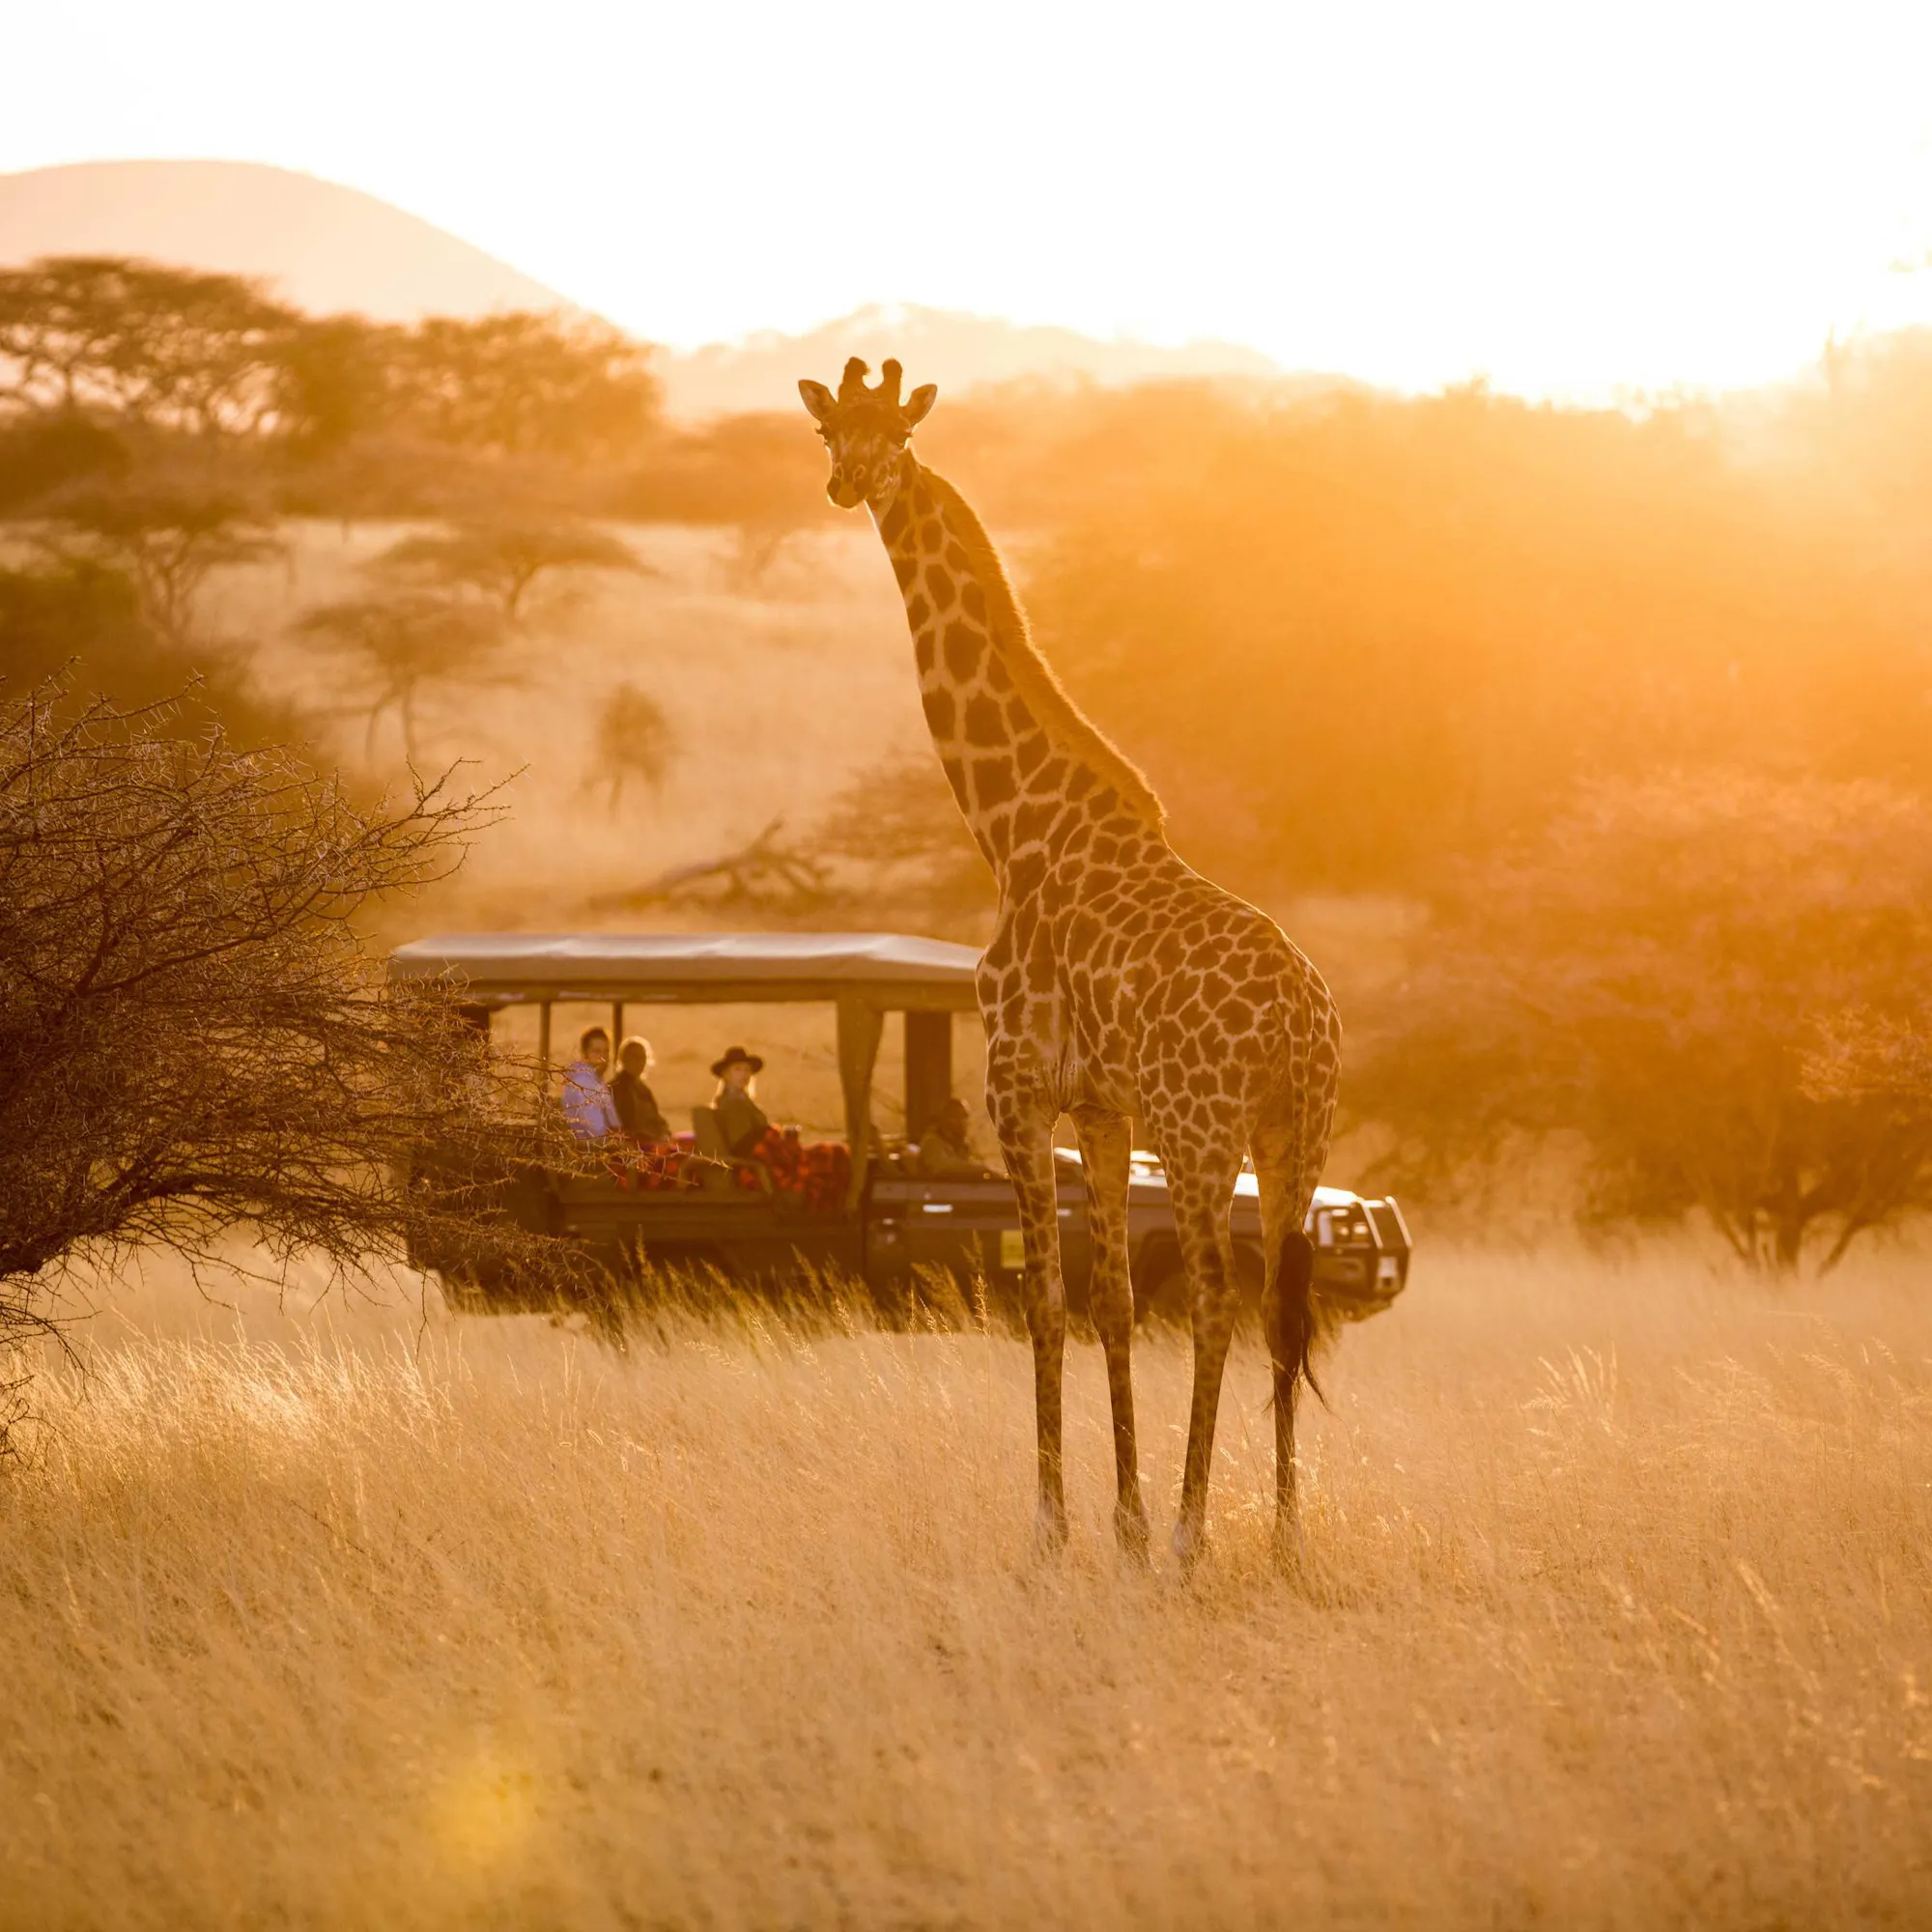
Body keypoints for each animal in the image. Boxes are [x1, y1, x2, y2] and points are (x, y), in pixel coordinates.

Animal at [800, 358, 1342, 1568]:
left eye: (896, 433)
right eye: (825, 428)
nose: (846, 483)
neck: (1013, 830)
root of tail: (1299, 1019)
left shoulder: (1017, 1087)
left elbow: (1047, 1301)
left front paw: (1056, 1526)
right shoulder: (1100, 1107)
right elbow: (1109, 1303)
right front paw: (1121, 1522)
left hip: (1201, 1131)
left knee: (1218, 1300)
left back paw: (1197, 1531)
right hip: (1296, 1131)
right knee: (1281, 1306)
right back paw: (1283, 1535)